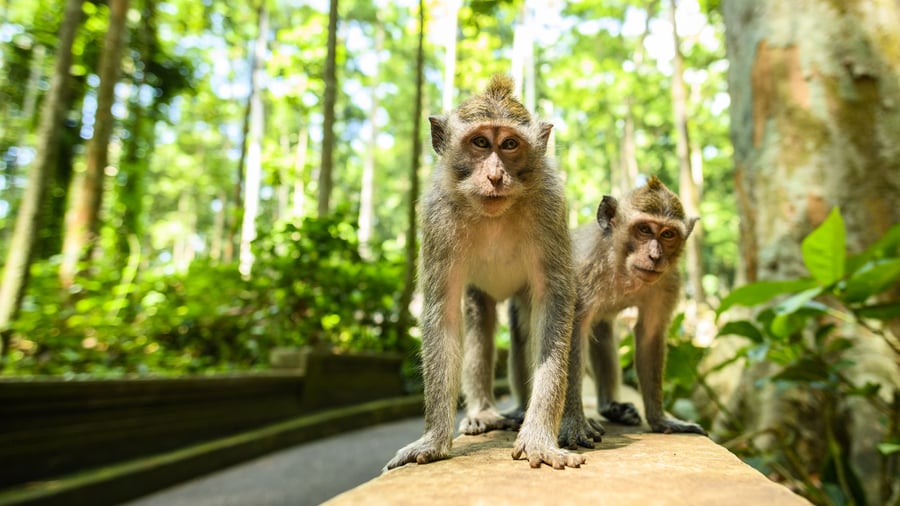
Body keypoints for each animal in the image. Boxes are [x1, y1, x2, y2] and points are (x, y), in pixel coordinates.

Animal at [384, 75, 584, 470]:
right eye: (479, 142)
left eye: (509, 144)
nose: (494, 176)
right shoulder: (437, 215)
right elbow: (443, 313)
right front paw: (433, 438)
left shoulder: (550, 205)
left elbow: (553, 303)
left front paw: (539, 436)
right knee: (479, 317)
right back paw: (483, 412)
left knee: (523, 325)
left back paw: (521, 408)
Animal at [556, 176, 707, 449]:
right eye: (644, 229)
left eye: (668, 234)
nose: (655, 256)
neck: (621, 266)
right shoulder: (582, 270)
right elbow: (570, 331)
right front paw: (573, 422)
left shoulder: (669, 282)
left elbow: (650, 335)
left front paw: (660, 419)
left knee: (601, 331)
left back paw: (610, 407)